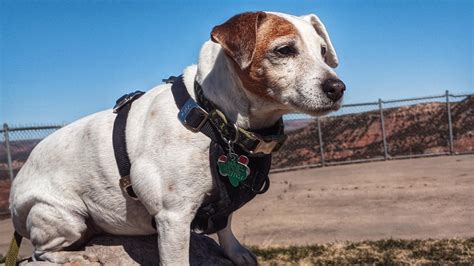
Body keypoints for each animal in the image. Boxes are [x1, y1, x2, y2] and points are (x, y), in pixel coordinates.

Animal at [10, 10, 344, 266]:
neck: (215, 114)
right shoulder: (174, 218)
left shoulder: (222, 199)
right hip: (61, 216)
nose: (338, 88)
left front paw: (235, 251)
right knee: (42, 251)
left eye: (322, 52)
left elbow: (226, 223)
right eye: (284, 50)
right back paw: (69, 255)